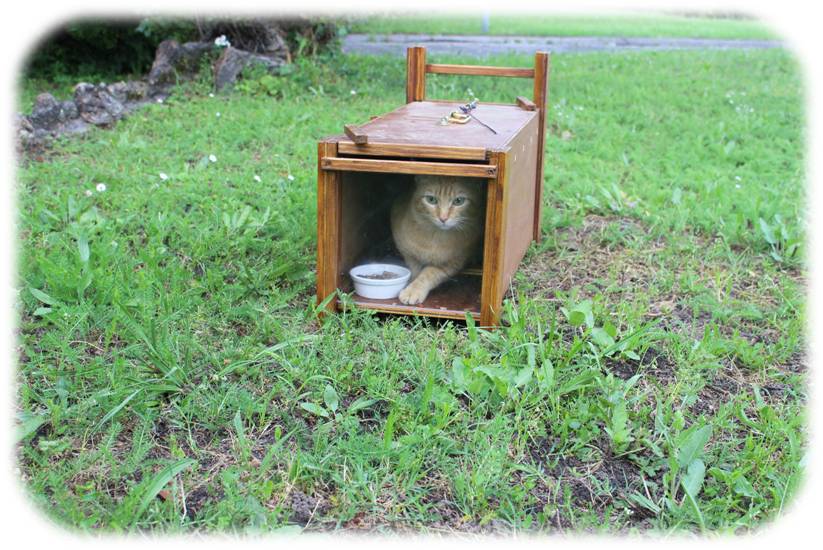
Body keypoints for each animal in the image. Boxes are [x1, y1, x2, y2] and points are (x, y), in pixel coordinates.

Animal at [392, 177, 486, 306]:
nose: (443, 218)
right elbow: (414, 269)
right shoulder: (408, 253)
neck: (435, 237)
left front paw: (413, 290)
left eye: (459, 201)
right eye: (431, 199)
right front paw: (411, 283)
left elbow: (427, 274)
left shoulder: (451, 263)